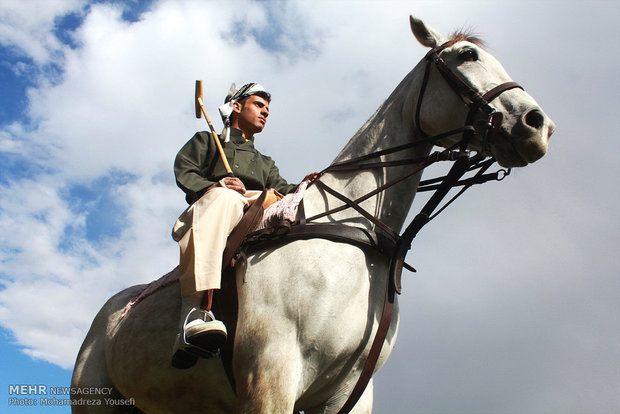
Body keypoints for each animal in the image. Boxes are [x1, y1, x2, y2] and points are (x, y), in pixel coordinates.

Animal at [70, 14, 556, 412]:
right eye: (467, 54)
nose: (538, 124)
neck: (348, 233)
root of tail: (109, 313)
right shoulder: (271, 374)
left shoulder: (349, 394)